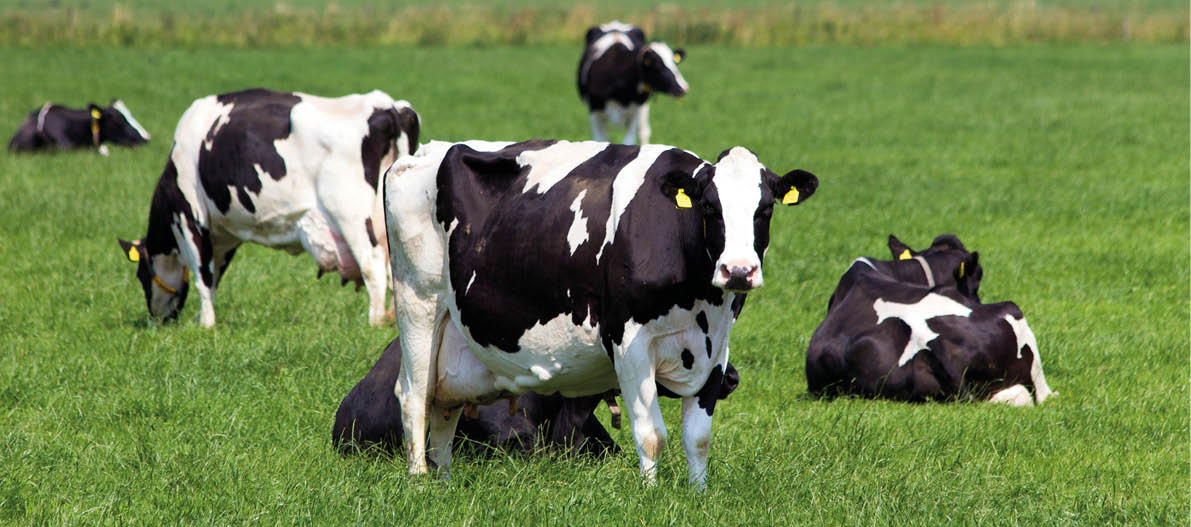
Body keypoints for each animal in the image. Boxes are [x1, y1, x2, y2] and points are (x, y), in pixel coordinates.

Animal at [117, 88, 420, 328]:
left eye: (141, 274)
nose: (156, 319)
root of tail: (388, 106)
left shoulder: (189, 216)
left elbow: (203, 274)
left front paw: (205, 324)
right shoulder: (224, 235)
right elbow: (214, 276)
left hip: (351, 216)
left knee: (373, 266)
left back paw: (375, 321)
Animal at [383, 139, 818, 488]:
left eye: (765, 210)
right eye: (710, 208)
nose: (739, 271)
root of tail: (422, 153)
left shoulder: (717, 345)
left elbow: (698, 437)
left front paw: (698, 494)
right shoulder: (629, 341)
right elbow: (651, 434)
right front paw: (651, 494)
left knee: (443, 405)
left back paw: (444, 481)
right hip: (417, 302)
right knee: (414, 395)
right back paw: (420, 481)